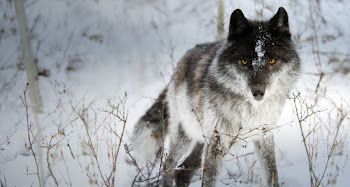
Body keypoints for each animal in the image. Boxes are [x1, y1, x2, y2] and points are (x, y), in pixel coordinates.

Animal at [130, 6, 300, 186]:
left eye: (272, 61)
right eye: (244, 62)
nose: (258, 92)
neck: (249, 109)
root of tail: (181, 62)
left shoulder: (264, 137)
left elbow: (272, 176)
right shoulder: (216, 144)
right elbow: (208, 180)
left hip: (200, 139)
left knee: (182, 171)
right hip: (184, 136)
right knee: (168, 167)